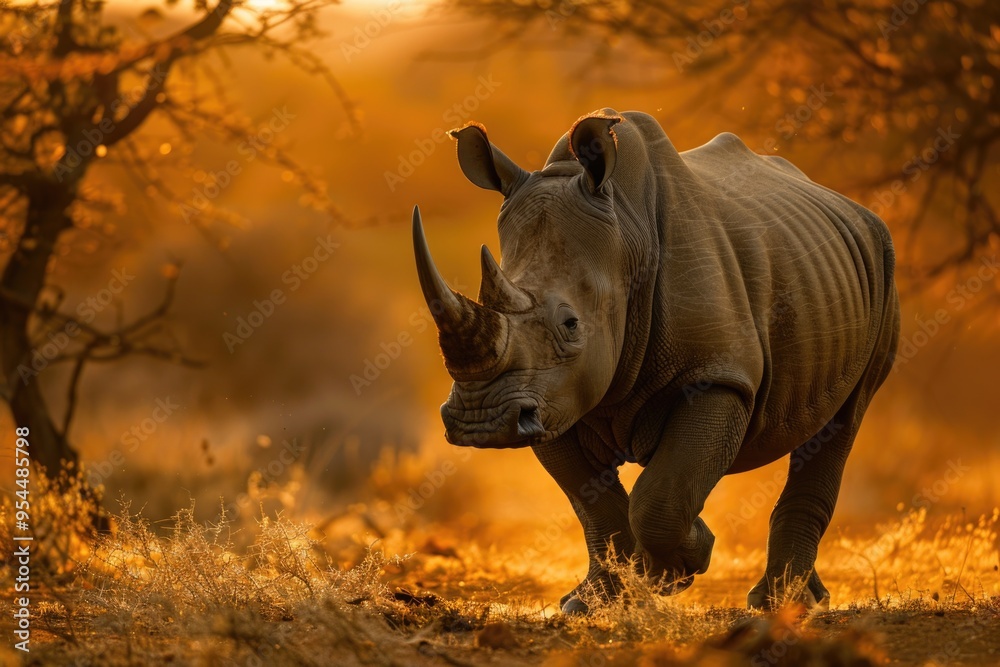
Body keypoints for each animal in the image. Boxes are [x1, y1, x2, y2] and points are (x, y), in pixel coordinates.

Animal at [412, 109, 900, 613]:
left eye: (570, 324)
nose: (481, 421)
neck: (627, 238)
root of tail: (850, 205)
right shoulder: (549, 397)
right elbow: (592, 502)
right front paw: (598, 600)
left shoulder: (716, 375)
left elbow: (660, 498)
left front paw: (675, 568)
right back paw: (804, 598)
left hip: (883, 263)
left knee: (845, 418)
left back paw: (783, 604)